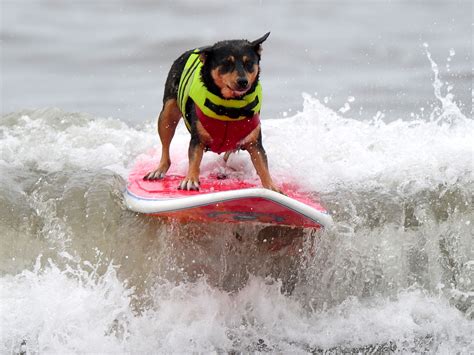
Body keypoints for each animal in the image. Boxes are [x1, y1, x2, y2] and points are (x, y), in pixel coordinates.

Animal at [144, 33, 282, 193]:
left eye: (249, 63)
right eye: (227, 63)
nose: (243, 81)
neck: (230, 106)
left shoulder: (254, 142)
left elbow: (262, 164)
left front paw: (272, 187)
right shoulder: (197, 138)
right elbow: (194, 157)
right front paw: (190, 179)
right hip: (167, 112)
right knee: (166, 144)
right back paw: (159, 170)